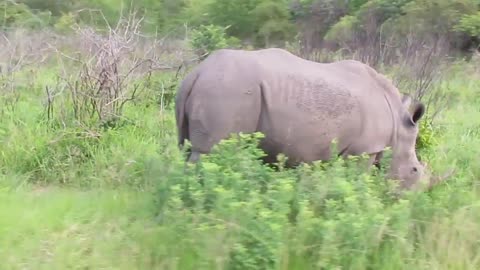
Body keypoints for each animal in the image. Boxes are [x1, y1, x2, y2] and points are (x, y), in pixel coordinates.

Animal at [175, 48, 450, 190]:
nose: (413, 198)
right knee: (210, 154)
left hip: (215, 87)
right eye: (414, 170)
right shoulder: (364, 150)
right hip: (228, 89)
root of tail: (196, 73)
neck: (397, 122)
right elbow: (356, 182)